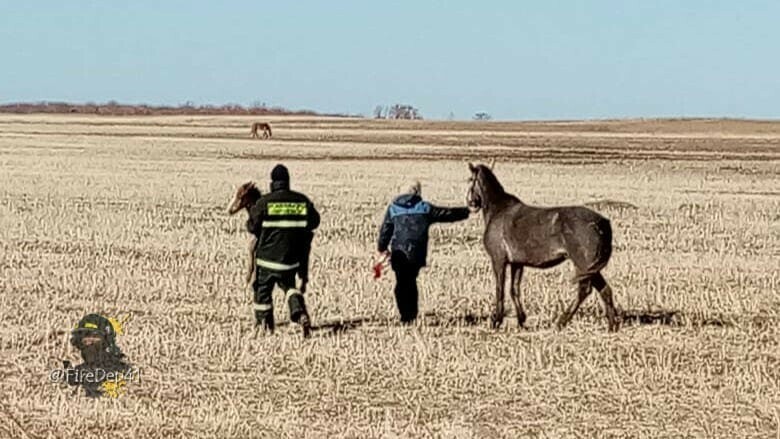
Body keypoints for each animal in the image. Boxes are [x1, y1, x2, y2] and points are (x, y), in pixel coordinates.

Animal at [466, 163, 620, 332]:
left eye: (469, 179)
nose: (470, 202)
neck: (498, 209)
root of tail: (602, 222)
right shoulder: (517, 263)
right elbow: (514, 290)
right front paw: (521, 320)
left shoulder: (498, 260)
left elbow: (500, 289)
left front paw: (496, 321)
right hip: (591, 268)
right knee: (605, 290)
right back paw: (612, 325)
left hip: (582, 265)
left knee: (584, 290)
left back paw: (561, 321)